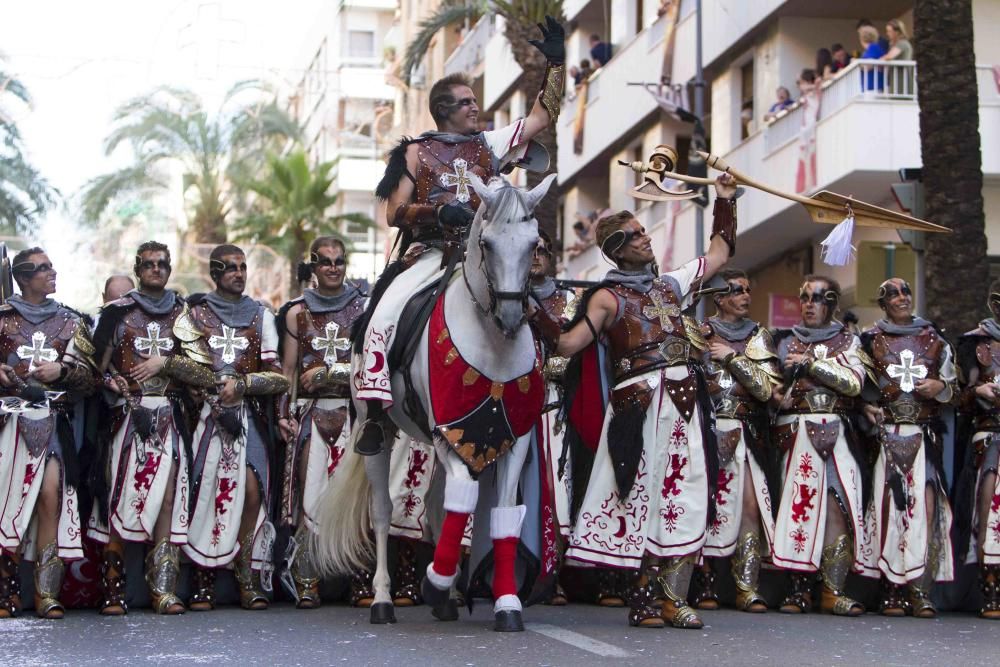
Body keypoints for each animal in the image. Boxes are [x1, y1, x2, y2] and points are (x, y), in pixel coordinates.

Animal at [314, 174, 556, 632]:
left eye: (533, 243)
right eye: (487, 243)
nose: (512, 317)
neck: (491, 343)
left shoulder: (506, 439)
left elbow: (500, 514)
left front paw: (506, 603)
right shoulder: (448, 432)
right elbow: (461, 497)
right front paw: (434, 580)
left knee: (437, 506)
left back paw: (447, 600)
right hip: (378, 429)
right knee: (382, 511)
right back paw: (383, 600)